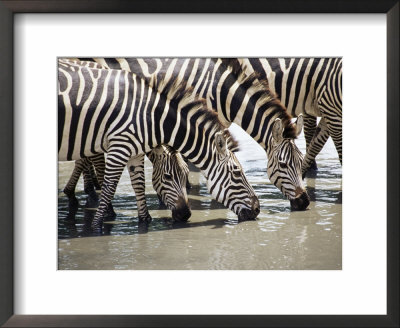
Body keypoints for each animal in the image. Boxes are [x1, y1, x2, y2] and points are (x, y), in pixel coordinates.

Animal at [58, 59, 260, 233]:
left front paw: (145, 220)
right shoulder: (119, 147)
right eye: (237, 173)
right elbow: (109, 187)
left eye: (186, 175)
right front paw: (97, 226)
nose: (258, 209)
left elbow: (139, 183)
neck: (151, 117)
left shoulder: (134, 151)